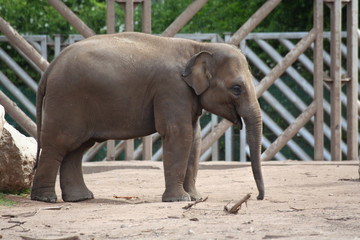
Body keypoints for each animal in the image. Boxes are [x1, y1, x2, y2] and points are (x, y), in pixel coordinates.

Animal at [31, 31, 264, 202]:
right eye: (236, 89)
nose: (258, 197)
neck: (198, 47)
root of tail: (51, 67)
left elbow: (195, 138)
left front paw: (195, 198)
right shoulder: (171, 88)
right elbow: (179, 134)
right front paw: (179, 200)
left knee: (77, 148)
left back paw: (81, 198)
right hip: (65, 98)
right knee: (59, 143)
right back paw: (45, 199)